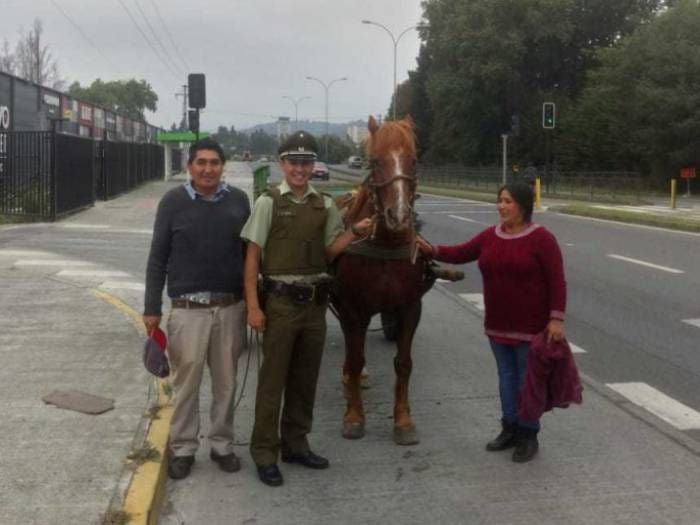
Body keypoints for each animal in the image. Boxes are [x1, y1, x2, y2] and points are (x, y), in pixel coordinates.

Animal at [330, 115, 430, 446]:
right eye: (374, 161)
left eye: (413, 160)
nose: (398, 215)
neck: (385, 243)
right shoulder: (352, 309)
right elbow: (355, 357)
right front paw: (354, 416)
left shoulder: (410, 307)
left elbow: (404, 363)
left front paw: (403, 420)